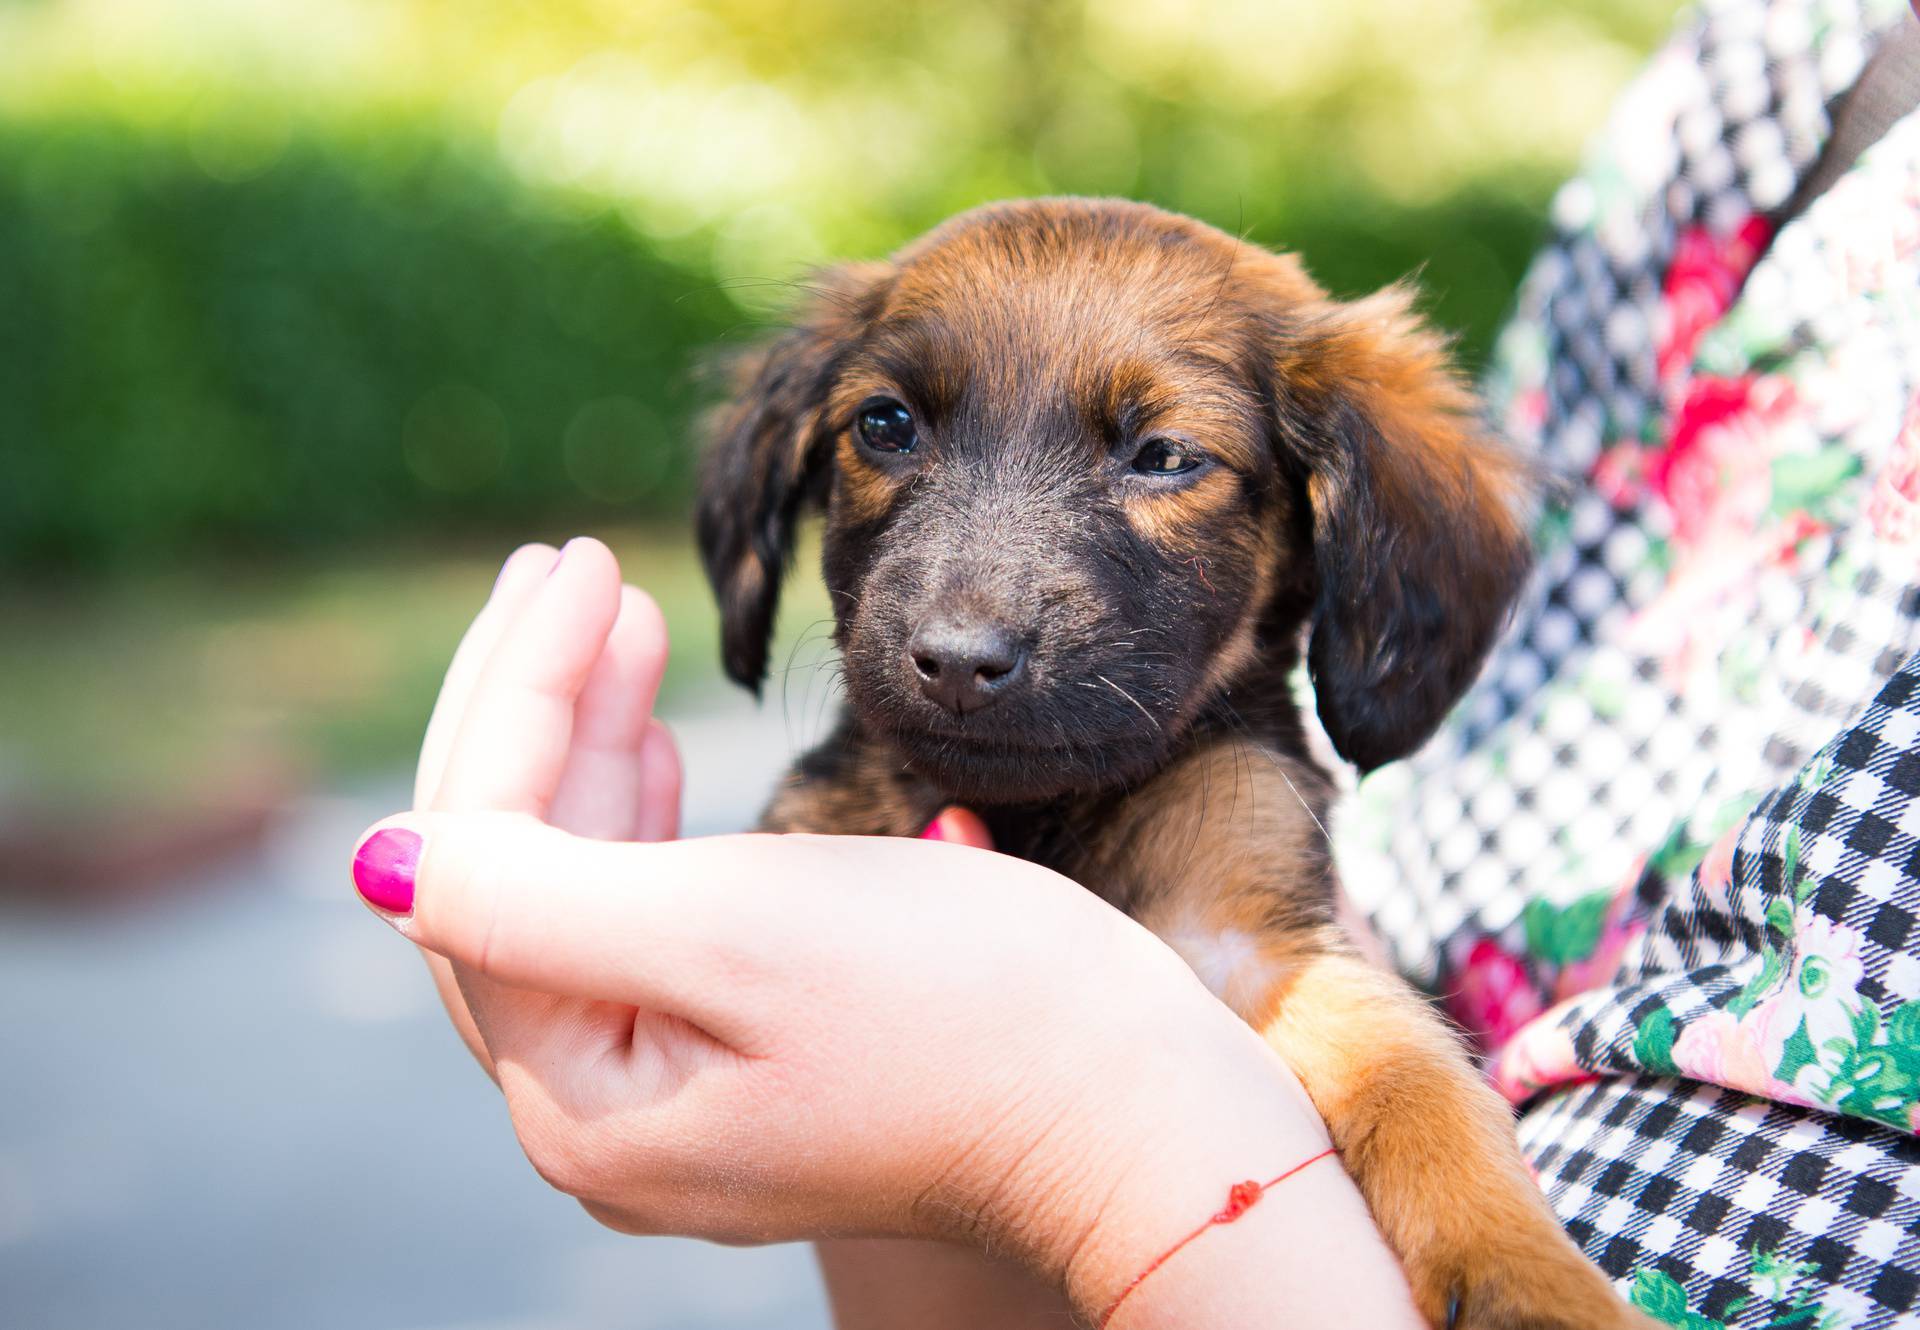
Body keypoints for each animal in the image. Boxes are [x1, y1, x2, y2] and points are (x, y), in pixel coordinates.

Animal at [702, 199, 1651, 1328]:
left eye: (1163, 456)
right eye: (884, 425)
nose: (960, 660)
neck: (1043, 808)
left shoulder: (1250, 937)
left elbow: (1418, 1079)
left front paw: (1525, 1270)